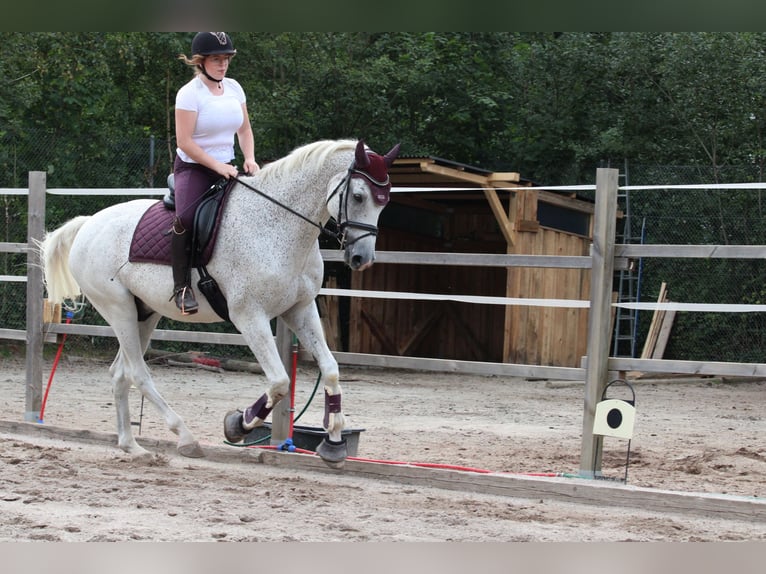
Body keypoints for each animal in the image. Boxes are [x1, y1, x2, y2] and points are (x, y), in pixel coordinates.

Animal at [39, 138, 402, 468]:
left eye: (385, 203)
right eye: (358, 196)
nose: (361, 258)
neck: (276, 225)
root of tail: (89, 223)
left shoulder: (299, 309)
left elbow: (330, 370)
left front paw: (334, 443)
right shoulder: (249, 316)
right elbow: (280, 382)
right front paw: (238, 425)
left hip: (144, 314)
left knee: (120, 373)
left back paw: (132, 446)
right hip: (119, 311)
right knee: (138, 373)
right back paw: (185, 437)